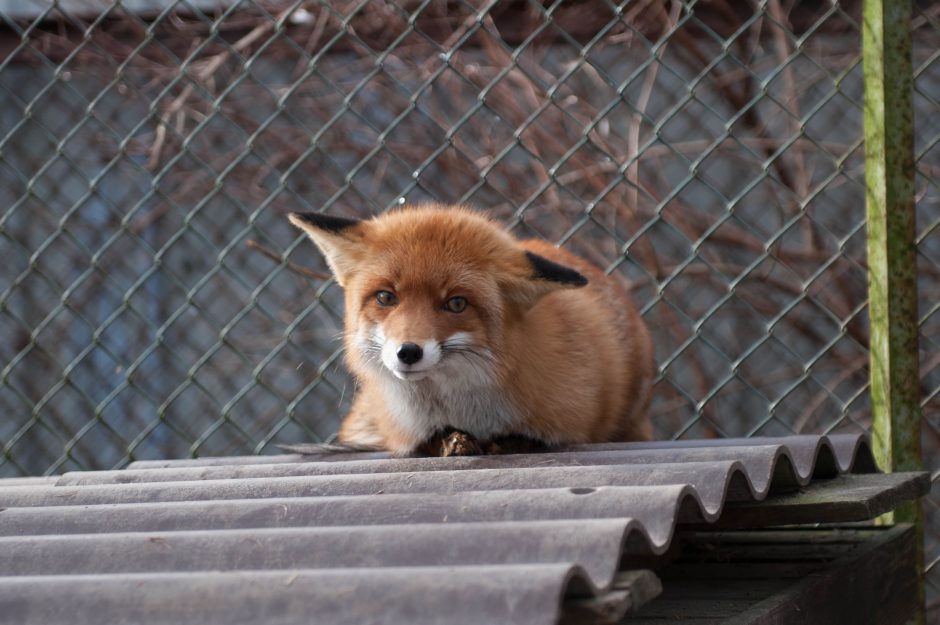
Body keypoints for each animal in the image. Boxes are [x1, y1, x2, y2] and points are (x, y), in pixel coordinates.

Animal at [288, 205, 652, 454]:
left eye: (456, 303)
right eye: (385, 297)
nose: (408, 352)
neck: (469, 412)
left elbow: (525, 440)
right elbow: (430, 442)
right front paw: (451, 442)